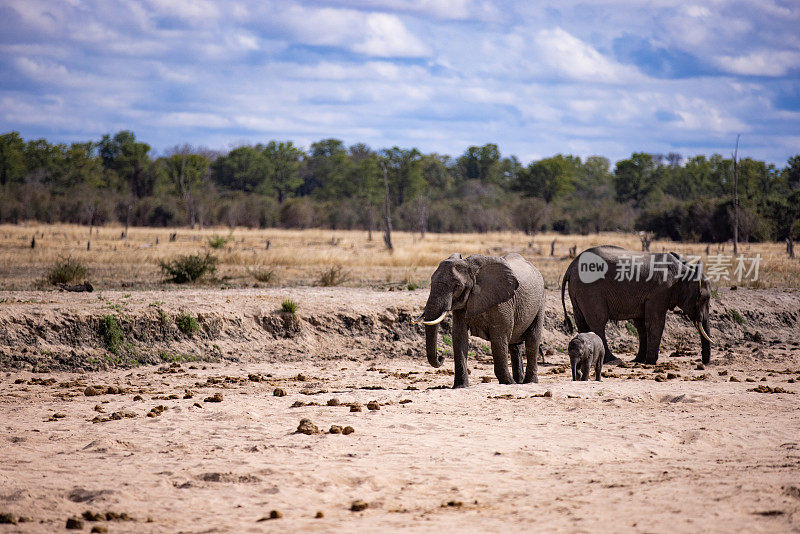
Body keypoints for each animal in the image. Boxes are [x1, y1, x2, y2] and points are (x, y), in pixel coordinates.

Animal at [412, 253, 544, 388]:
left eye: (457, 286)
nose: (441, 357)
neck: (472, 269)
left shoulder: (502, 302)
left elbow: (499, 336)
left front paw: (508, 383)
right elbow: (459, 335)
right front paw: (460, 387)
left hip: (540, 302)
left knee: (532, 340)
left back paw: (529, 382)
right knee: (515, 345)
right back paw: (519, 381)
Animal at [560, 246, 716, 364]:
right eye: (704, 299)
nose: (705, 363)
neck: (686, 269)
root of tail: (570, 267)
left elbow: (641, 325)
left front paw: (639, 360)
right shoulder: (660, 291)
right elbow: (655, 322)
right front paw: (651, 362)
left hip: (577, 291)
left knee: (582, 322)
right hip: (590, 290)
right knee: (598, 322)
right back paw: (612, 360)